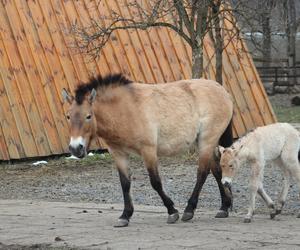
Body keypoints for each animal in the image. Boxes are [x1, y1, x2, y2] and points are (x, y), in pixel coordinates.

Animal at [62, 73, 233, 227]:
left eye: (88, 116)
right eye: (68, 116)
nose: (76, 148)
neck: (124, 109)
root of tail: (223, 91)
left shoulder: (148, 150)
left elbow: (155, 182)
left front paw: (172, 211)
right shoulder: (118, 153)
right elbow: (125, 183)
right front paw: (125, 215)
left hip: (206, 141)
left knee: (202, 173)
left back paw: (189, 210)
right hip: (204, 144)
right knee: (217, 171)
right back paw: (224, 208)